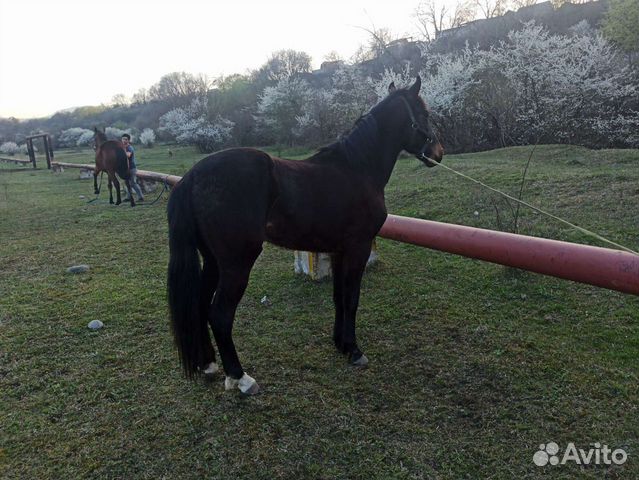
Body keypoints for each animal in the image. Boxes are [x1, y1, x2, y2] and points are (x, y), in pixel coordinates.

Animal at [165, 78, 444, 394]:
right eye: (424, 114)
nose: (438, 152)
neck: (356, 168)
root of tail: (192, 177)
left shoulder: (338, 251)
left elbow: (339, 297)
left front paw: (341, 344)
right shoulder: (358, 248)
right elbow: (352, 298)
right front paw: (355, 351)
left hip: (213, 261)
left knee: (200, 305)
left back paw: (208, 363)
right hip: (237, 264)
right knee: (220, 315)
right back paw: (240, 377)